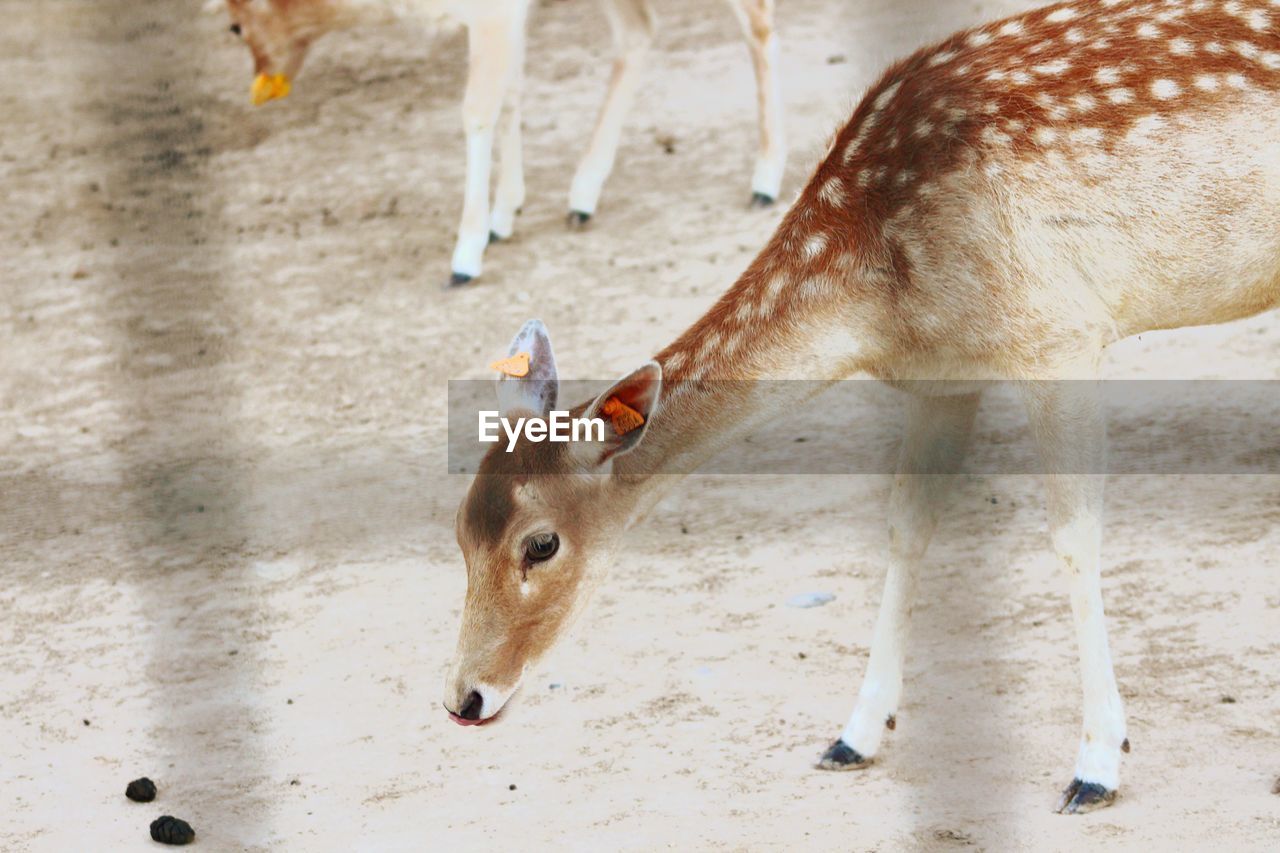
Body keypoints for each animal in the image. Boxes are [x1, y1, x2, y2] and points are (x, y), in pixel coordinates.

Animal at [208, 0, 783, 285]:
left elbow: (478, 108)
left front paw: (466, 252)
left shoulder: (491, 11)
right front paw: (503, 214)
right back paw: (583, 193)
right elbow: (513, 88)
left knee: (758, 21)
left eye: (235, 26)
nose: (260, 85)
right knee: (638, 33)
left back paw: (766, 179)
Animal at [442, 0, 1280, 814]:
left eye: (541, 543)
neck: (880, 295)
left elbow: (1074, 538)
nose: (464, 697)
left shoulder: (1059, 336)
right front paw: (854, 734)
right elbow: (906, 527)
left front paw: (1097, 764)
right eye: (457, 531)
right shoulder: (947, 380)